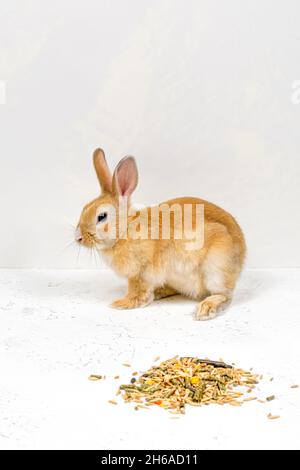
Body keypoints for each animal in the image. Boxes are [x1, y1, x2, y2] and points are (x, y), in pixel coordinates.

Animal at [75, 149, 246, 322]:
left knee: (224, 295)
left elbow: (137, 291)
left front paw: (122, 303)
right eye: (83, 209)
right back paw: (160, 292)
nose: (78, 238)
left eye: (102, 216)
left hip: (217, 268)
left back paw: (206, 308)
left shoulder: (140, 273)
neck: (125, 231)